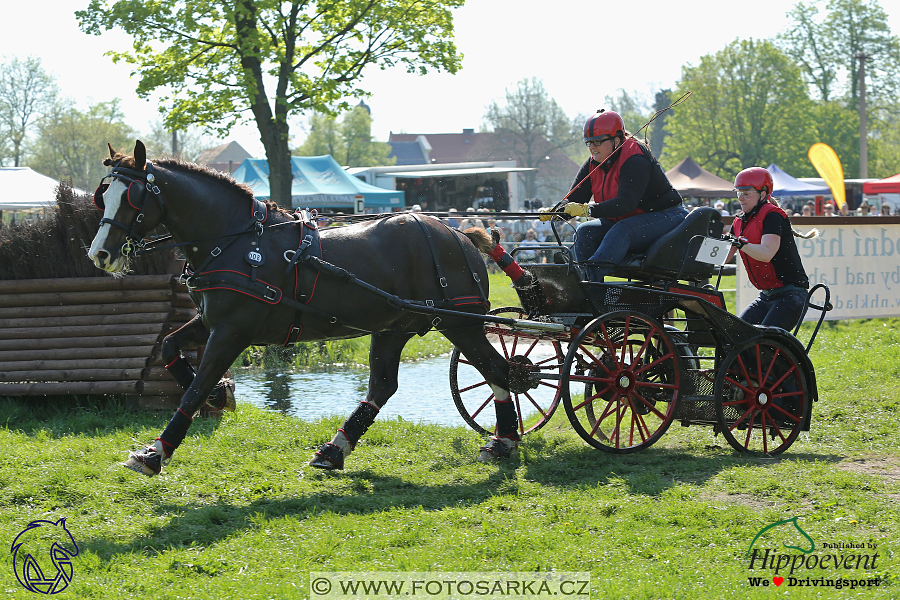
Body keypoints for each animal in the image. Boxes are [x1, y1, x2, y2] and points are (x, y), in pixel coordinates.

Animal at [86, 139, 520, 474]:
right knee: (383, 386)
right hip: (394, 327)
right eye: (102, 196)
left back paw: (504, 441)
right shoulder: (211, 321)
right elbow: (170, 348)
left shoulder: (232, 332)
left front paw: (155, 452)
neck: (235, 239)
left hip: (460, 323)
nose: (99, 254)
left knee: (500, 371)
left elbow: (194, 389)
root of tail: (458, 235)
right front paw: (219, 395)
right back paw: (334, 450)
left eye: (132, 197)